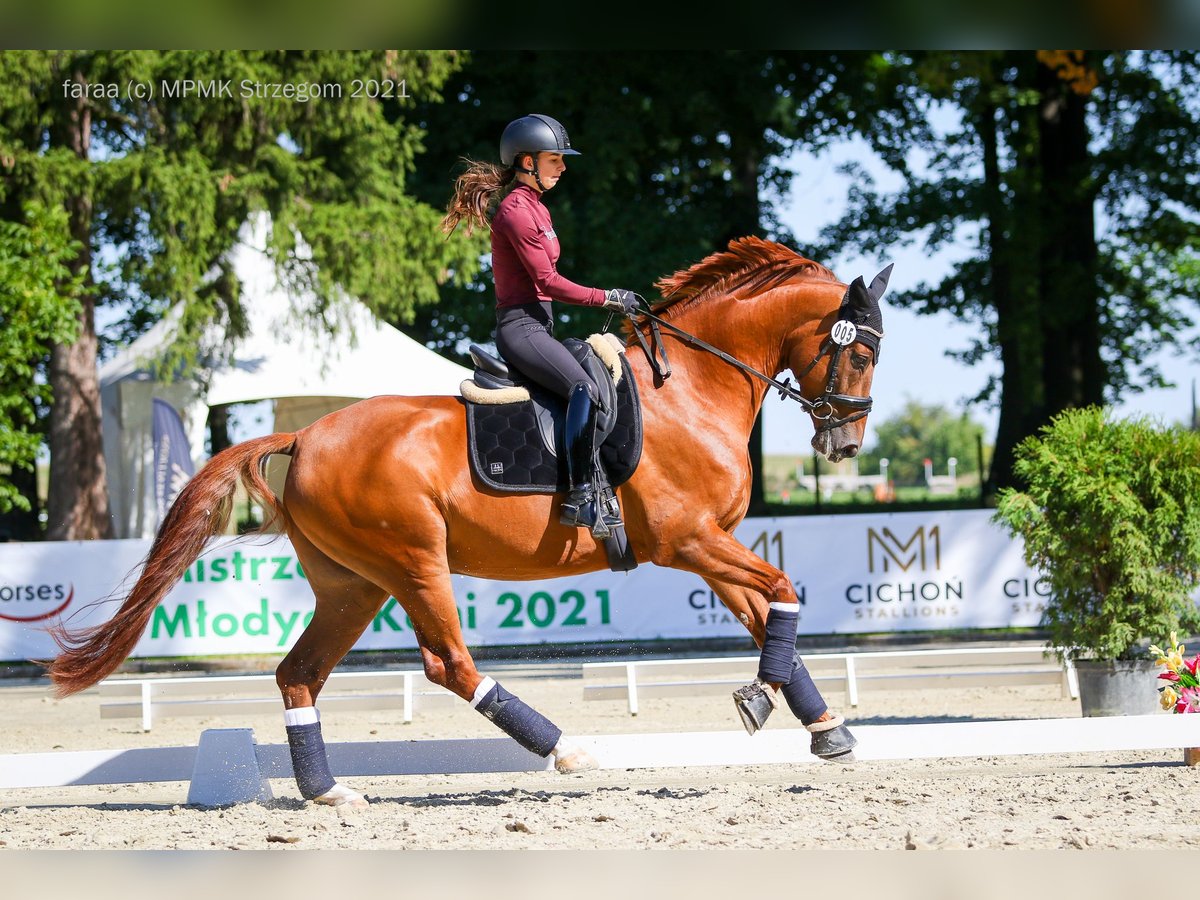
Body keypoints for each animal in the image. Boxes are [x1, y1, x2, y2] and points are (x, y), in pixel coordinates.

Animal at [46, 237, 888, 811]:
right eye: (859, 354)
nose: (845, 444)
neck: (690, 388)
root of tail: (306, 434)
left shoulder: (711, 545)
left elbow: (769, 612)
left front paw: (822, 726)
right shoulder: (688, 541)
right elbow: (783, 591)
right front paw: (765, 703)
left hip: (351, 584)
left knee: (298, 673)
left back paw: (327, 792)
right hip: (414, 560)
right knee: (449, 663)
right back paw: (569, 751)